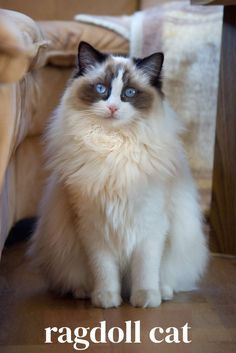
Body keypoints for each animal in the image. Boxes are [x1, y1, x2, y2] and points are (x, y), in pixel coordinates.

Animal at [28, 40, 208, 306]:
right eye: (101, 89)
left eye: (129, 93)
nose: (112, 107)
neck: (114, 147)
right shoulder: (93, 228)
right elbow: (104, 271)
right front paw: (106, 300)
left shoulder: (150, 226)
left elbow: (145, 270)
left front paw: (146, 300)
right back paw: (85, 293)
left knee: (168, 279)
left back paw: (163, 292)